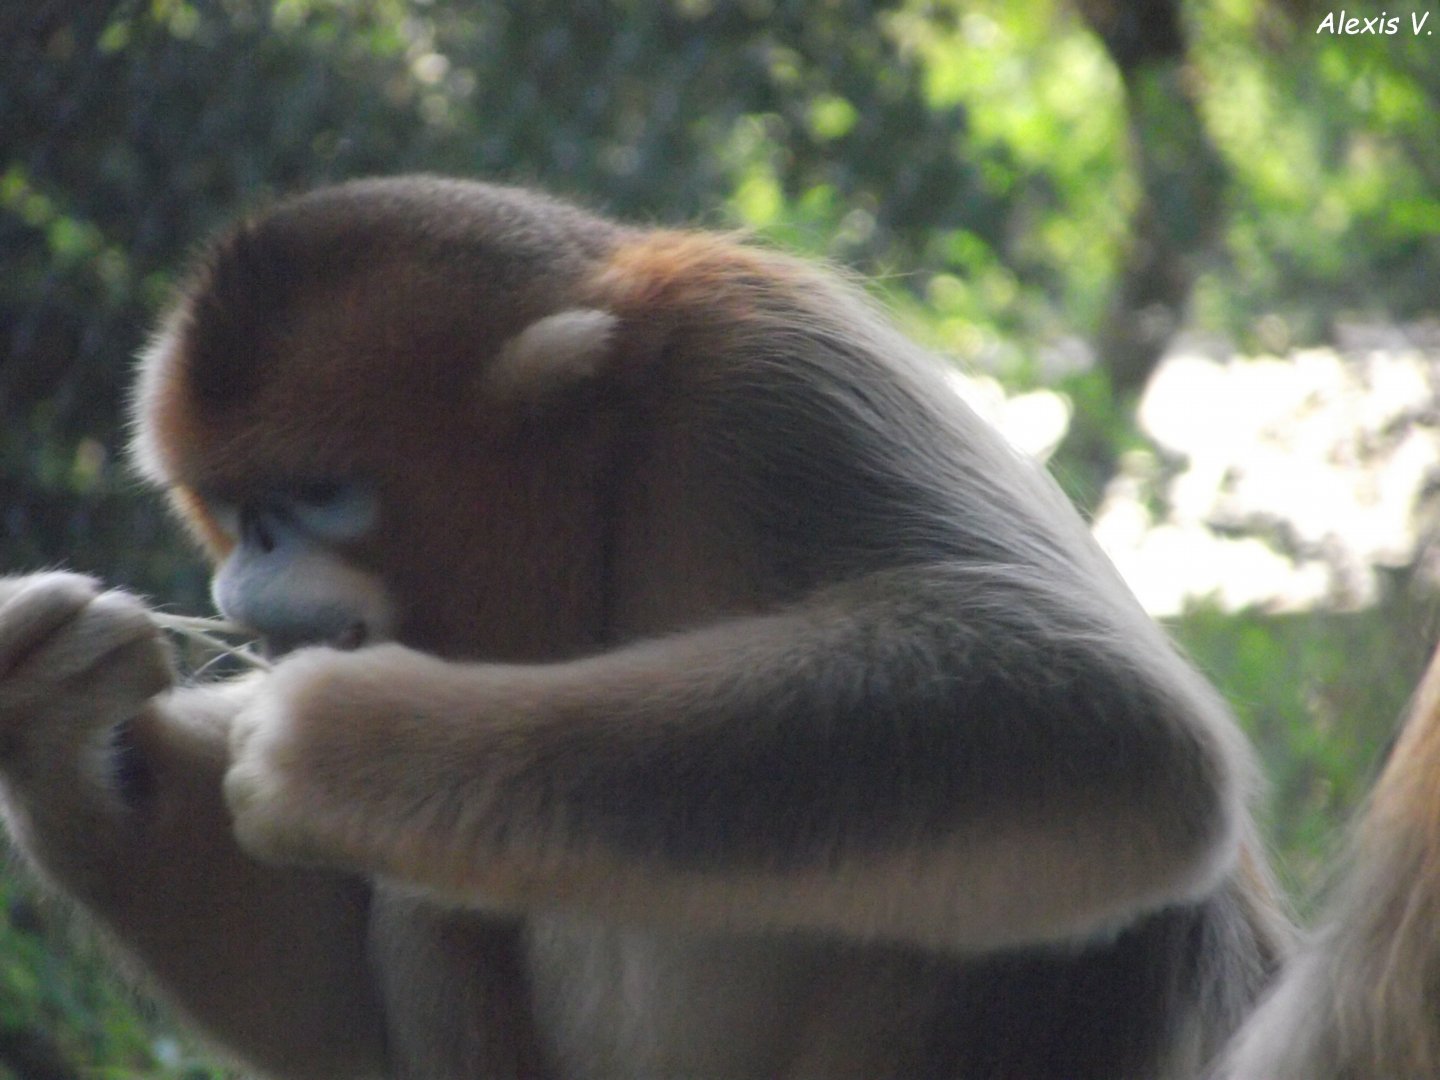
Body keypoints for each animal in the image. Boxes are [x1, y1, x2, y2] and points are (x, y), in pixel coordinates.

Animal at [0, 175, 1290, 1079]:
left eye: (313, 498)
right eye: (232, 509)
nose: (249, 562)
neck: (612, 503)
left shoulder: (766, 377)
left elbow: (1112, 715)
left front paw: (351, 741)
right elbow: (331, 1018)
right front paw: (52, 713)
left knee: (1119, 905)